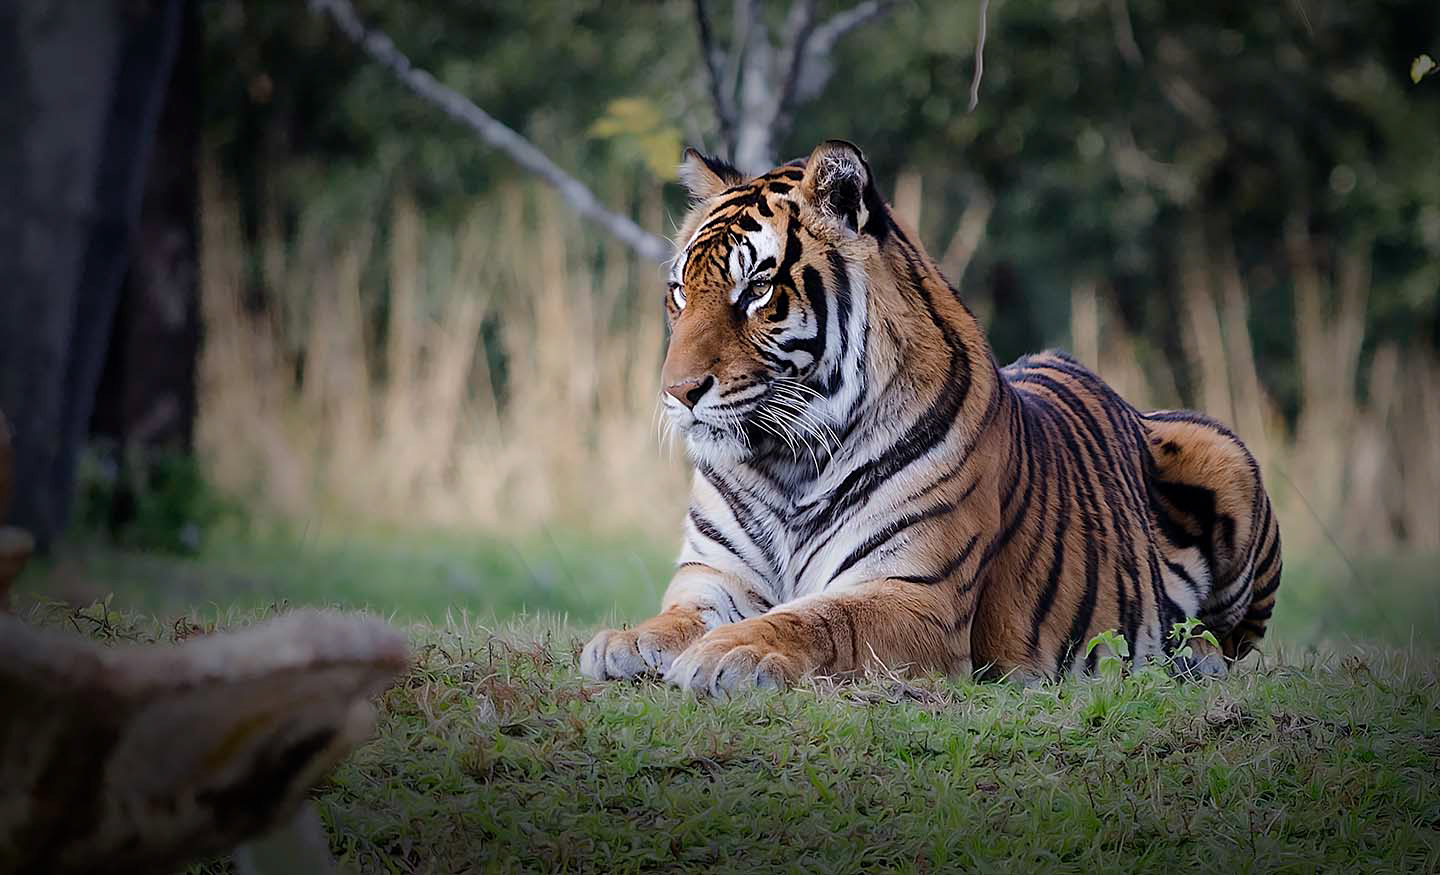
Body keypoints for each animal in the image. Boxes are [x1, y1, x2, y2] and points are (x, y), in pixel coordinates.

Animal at [581, 140, 1282, 696]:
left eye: (755, 289)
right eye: (679, 292)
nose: (678, 391)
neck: (785, 464)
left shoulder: (916, 595)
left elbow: (818, 619)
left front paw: (732, 652)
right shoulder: (712, 579)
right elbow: (675, 618)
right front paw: (623, 642)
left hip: (1227, 458)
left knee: (1231, 646)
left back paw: (1191, 661)